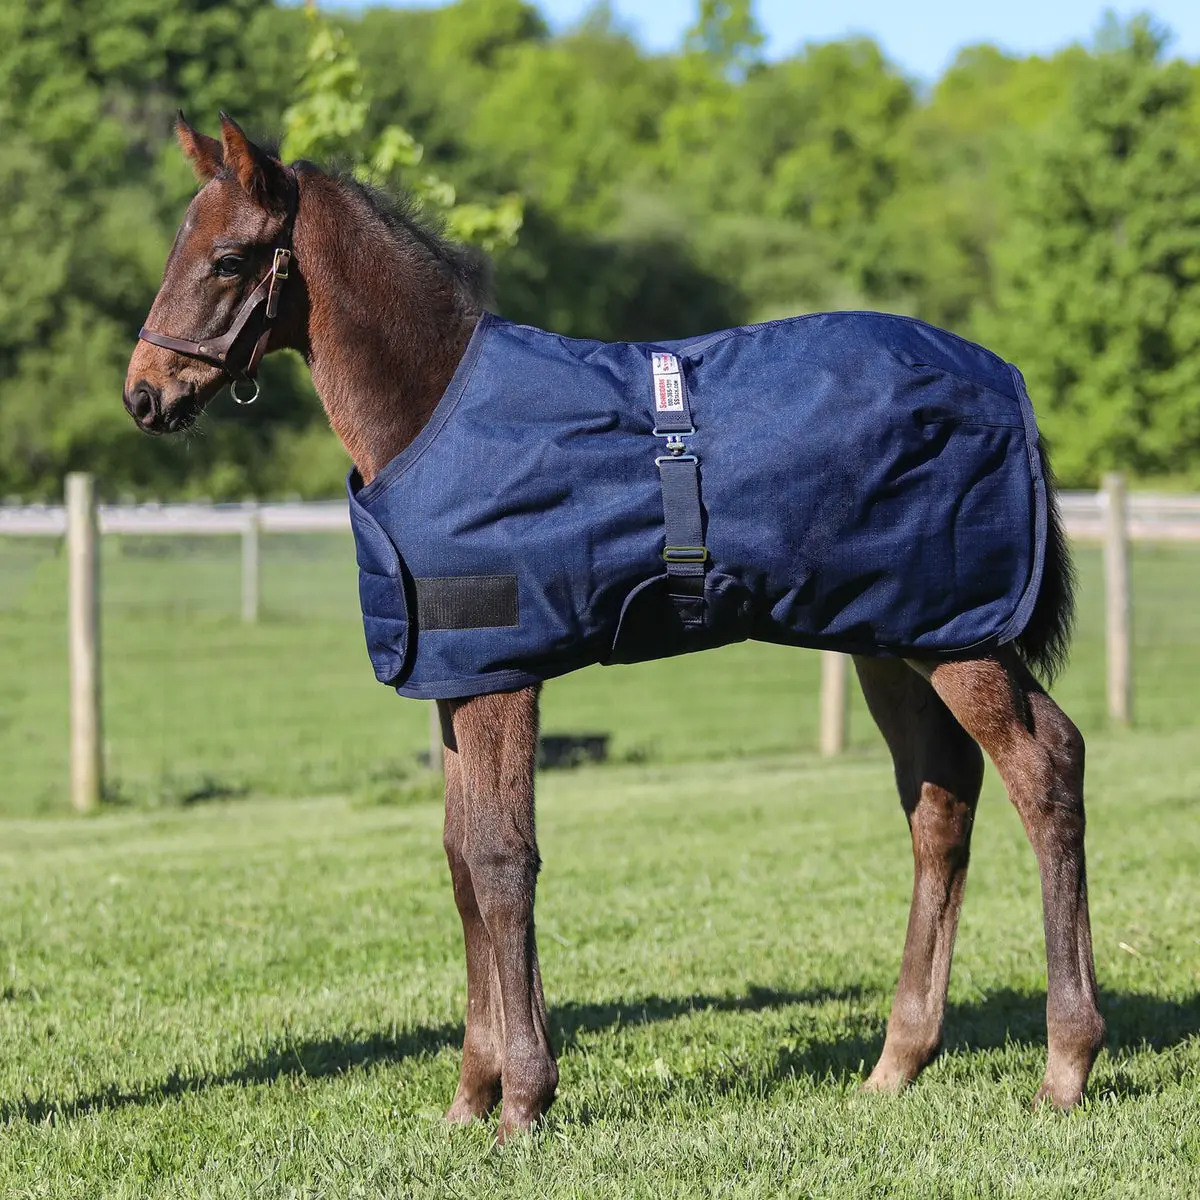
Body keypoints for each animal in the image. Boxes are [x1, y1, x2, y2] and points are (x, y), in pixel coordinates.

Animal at [123, 113, 1105, 1141]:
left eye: (229, 259)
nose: (144, 394)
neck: (432, 411)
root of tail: (1004, 381)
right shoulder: (456, 679)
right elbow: (460, 863)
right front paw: (469, 1097)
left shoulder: (505, 676)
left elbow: (502, 859)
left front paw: (522, 1099)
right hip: (896, 640)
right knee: (940, 800)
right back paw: (897, 1063)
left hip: (961, 635)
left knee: (1046, 766)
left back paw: (1066, 1065)